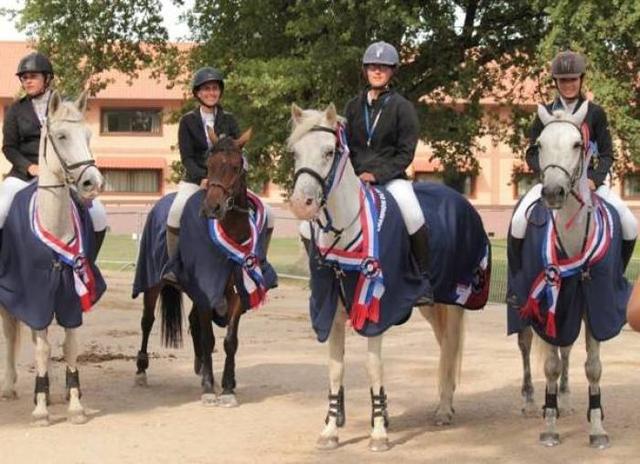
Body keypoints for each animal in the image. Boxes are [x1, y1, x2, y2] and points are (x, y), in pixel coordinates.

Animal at [0, 89, 104, 426]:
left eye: (88, 135)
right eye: (61, 136)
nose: (92, 183)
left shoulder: (70, 295)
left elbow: (69, 346)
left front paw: (74, 404)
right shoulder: (35, 295)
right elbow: (43, 349)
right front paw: (41, 409)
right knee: (11, 333)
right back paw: (10, 387)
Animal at [132, 127, 276, 406]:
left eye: (236, 166)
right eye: (209, 165)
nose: (212, 207)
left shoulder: (238, 291)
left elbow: (230, 340)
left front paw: (228, 388)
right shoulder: (206, 287)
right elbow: (209, 337)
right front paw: (209, 388)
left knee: (192, 322)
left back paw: (200, 367)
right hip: (154, 282)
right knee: (147, 320)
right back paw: (142, 370)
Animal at [286, 103, 490, 452]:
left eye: (329, 152)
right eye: (295, 152)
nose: (302, 204)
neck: (347, 229)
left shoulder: (376, 310)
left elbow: (373, 367)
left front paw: (379, 431)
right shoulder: (333, 311)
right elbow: (336, 368)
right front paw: (330, 430)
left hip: (454, 298)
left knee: (450, 345)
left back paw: (444, 409)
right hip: (431, 305)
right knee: (444, 347)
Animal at [510, 102, 632, 450]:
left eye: (578, 144)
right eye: (539, 145)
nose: (553, 192)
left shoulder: (593, 305)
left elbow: (593, 367)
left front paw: (597, 427)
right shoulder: (550, 304)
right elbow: (549, 365)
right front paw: (549, 427)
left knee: (566, 349)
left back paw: (564, 399)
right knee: (526, 345)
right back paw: (530, 400)